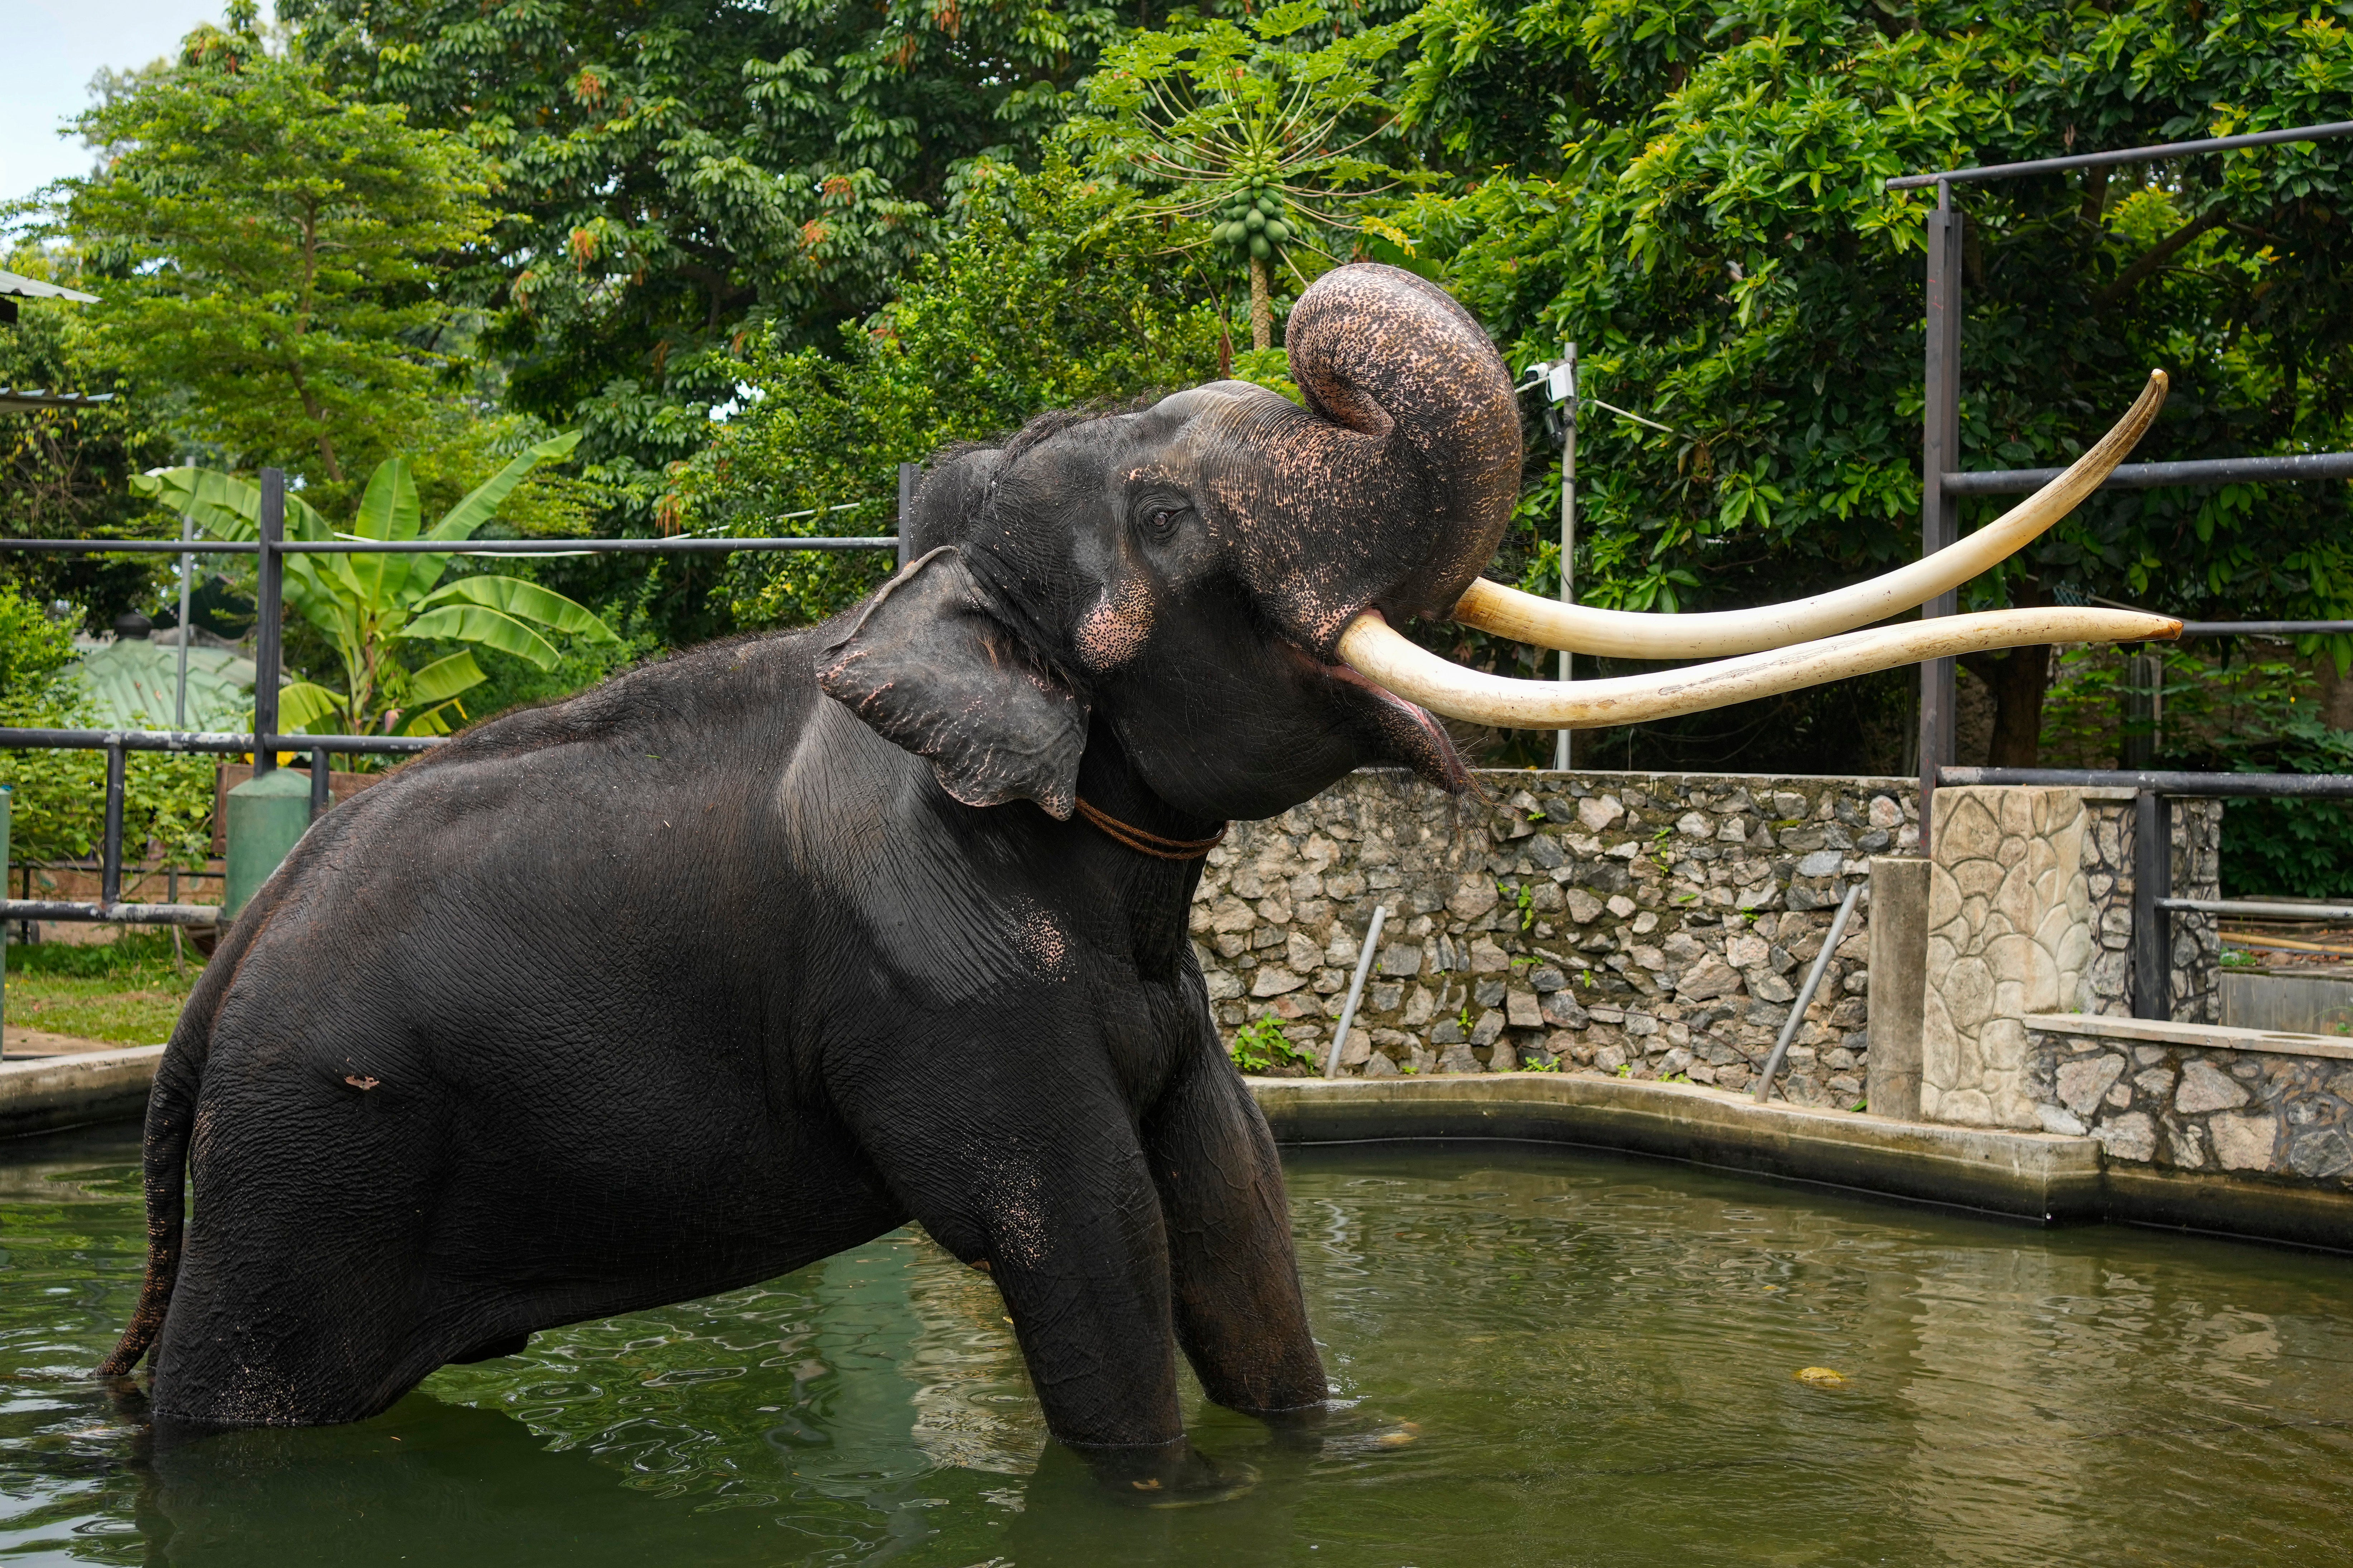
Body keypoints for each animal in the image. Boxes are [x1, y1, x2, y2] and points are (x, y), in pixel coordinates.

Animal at [106, 257, 2165, 1469]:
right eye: (1172, 518)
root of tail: (209, 990)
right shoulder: (933, 987)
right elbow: (1088, 1237)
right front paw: (1161, 1487)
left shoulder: (1159, 999)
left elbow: (1236, 1208)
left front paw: (1338, 1458)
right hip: (309, 1162)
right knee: (243, 1393)